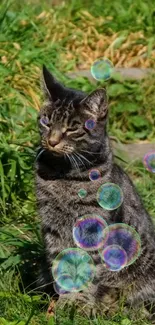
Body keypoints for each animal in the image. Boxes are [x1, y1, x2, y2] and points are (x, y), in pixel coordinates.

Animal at [35, 66, 155, 316]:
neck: (65, 175)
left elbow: (88, 270)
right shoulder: (52, 227)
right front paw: (66, 301)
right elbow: (62, 264)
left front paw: (79, 304)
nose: (52, 141)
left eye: (72, 128)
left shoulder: (92, 229)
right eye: (46, 121)